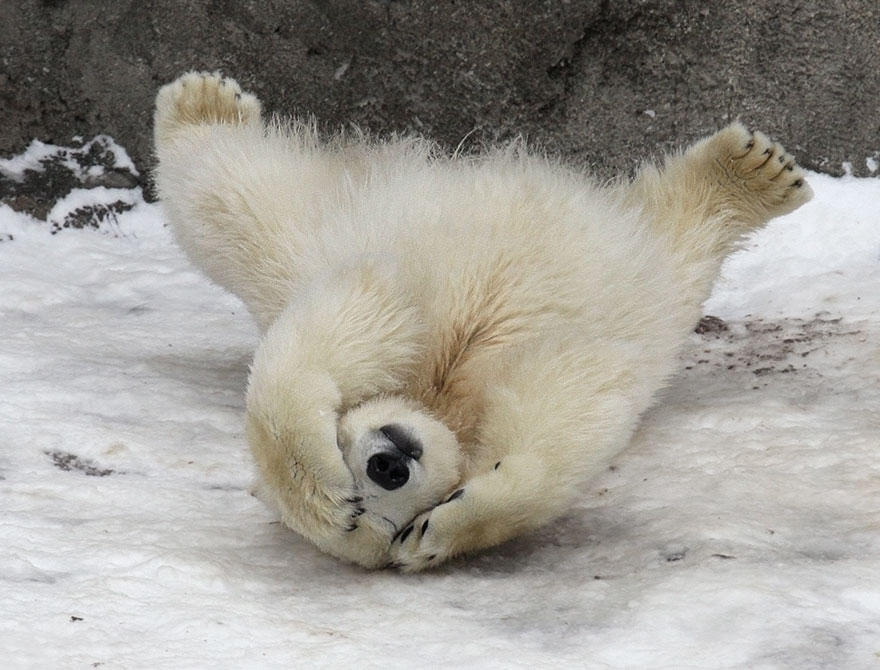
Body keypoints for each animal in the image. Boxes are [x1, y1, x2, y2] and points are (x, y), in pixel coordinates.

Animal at [153, 72, 812, 572]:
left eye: (345, 453)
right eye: (377, 521)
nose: (388, 463)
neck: (439, 395)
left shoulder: (390, 304)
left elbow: (352, 327)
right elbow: (563, 402)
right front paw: (452, 526)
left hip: (324, 233)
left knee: (238, 204)